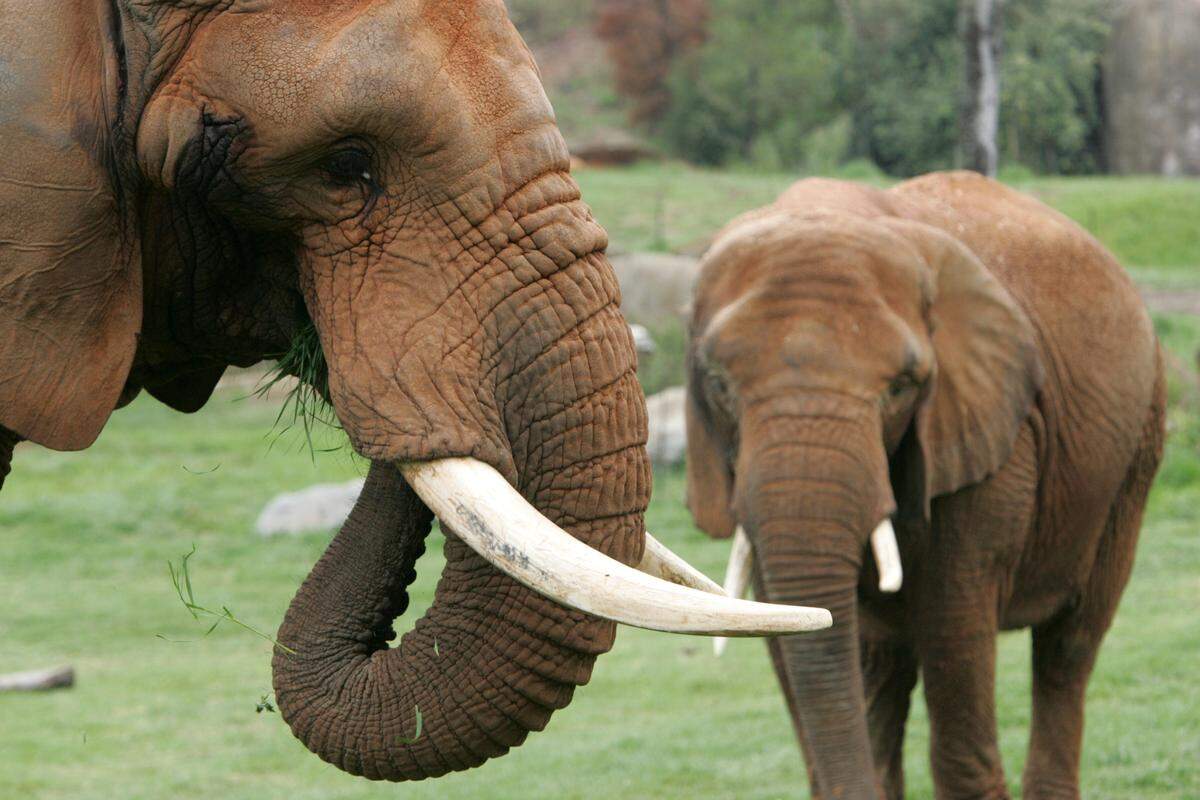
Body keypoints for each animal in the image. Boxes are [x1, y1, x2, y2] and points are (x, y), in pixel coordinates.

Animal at [686, 172, 1165, 799]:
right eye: (718, 384)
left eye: (900, 388)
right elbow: (790, 624)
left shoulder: (991, 432)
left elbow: (953, 615)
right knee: (881, 666)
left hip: (1136, 447)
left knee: (1068, 648)